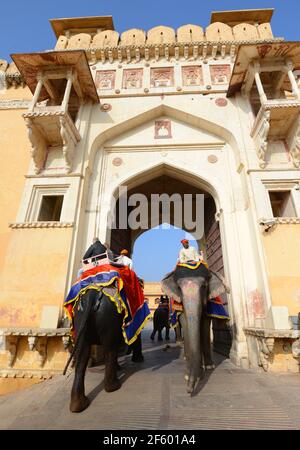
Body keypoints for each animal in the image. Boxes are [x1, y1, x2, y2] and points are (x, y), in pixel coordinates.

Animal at [162, 262, 230, 396]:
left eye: (204, 286)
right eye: (179, 288)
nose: (188, 390)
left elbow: (204, 326)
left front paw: (206, 368)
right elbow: (185, 323)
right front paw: (189, 375)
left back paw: (208, 366)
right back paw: (185, 356)